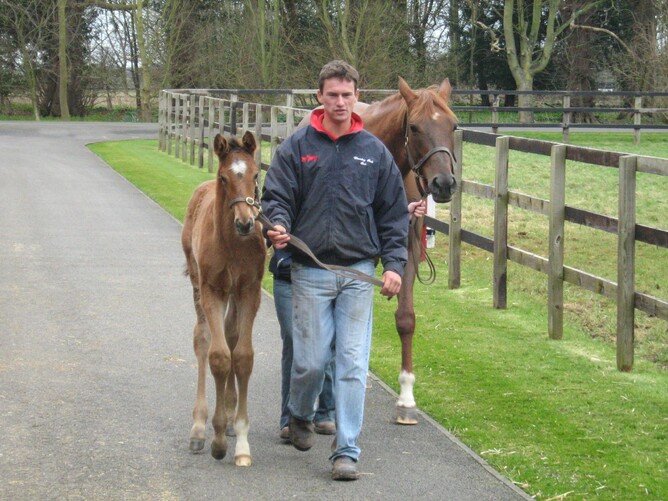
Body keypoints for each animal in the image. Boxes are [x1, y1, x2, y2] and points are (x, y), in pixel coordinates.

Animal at [181, 130, 266, 466]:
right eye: (224, 178)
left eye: (255, 175)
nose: (245, 222)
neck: (233, 244)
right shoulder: (212, 290)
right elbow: (218, 356)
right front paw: (216, 438)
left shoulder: (249, 290)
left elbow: (241, 356)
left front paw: (240, 438)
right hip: (197, 284)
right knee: (203, 339)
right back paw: (198, 426)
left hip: (233, 294)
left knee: (229, 335)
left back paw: (228, 416)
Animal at [298, 77, 458, 424]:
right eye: (414, 126)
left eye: (454, 125)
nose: (444, 183)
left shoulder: (405, 253)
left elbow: (405, 319)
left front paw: (406, 398)